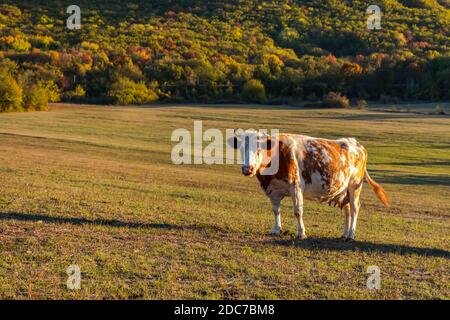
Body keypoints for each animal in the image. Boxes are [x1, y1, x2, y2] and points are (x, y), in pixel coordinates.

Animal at [230, 129, 388, 240]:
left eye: (259, 148)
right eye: (241, 148)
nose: (247, 169)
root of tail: (357, 144)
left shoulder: (296, 187)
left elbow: (298, 211)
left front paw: (301, 233)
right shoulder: (272, 189)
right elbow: (276, 210)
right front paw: (276, 229)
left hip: (354, 186)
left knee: (355, 209)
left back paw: (351, 235)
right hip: (343, 190)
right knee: (348, 211)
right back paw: (345, 234)